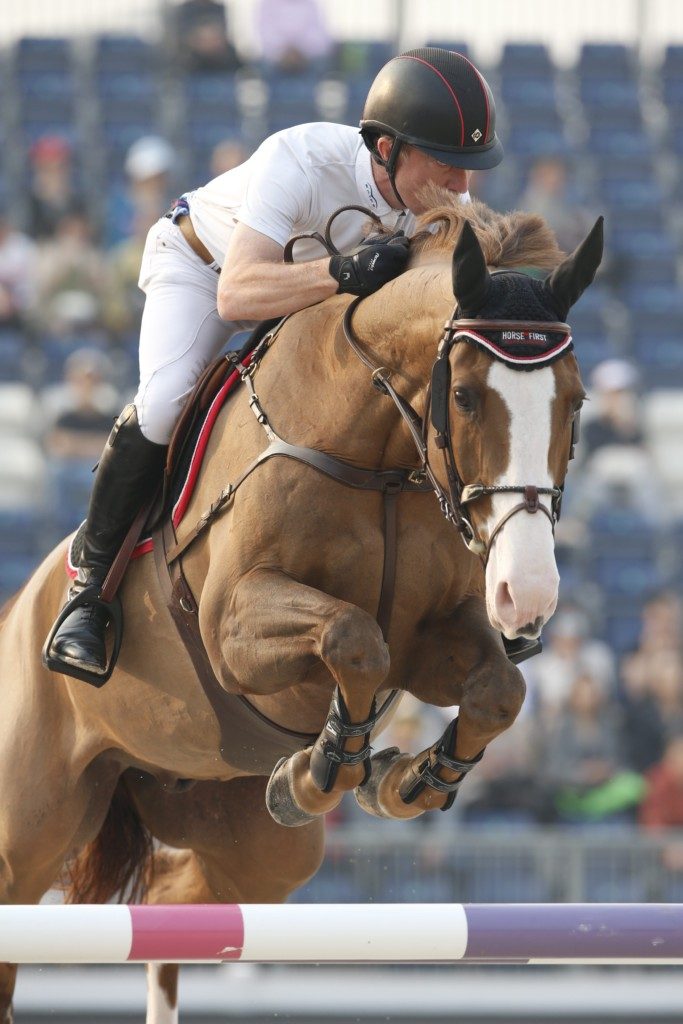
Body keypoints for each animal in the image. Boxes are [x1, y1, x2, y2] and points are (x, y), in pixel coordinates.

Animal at [0, 190, 602, 1015]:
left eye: (574, 402)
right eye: (467, 397)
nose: (527, 594)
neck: (378, 457)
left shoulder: (432, 636)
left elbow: (495, 690)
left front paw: (404, 779)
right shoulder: (234, 627)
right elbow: (352, 637)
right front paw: (327, 768)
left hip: (247, 844)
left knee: (170, 904)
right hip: (30, 829)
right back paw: (83, 633)